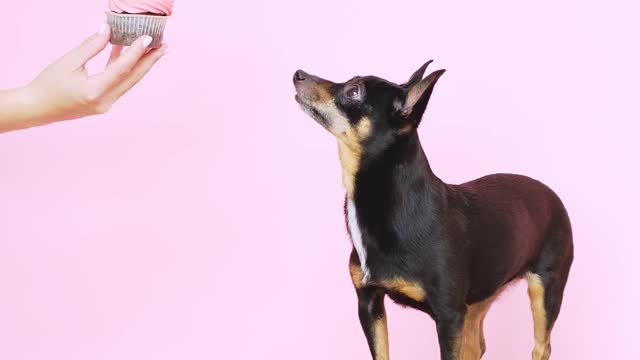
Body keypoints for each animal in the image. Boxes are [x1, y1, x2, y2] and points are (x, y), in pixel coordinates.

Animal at [296, 62, 576, 360]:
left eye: (354, 92)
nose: (298, 74)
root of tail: (550, 193)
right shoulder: (369, 302)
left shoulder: (448, 316)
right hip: (478, 295)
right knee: (476, 345)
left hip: (545, 289)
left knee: (541, 346)